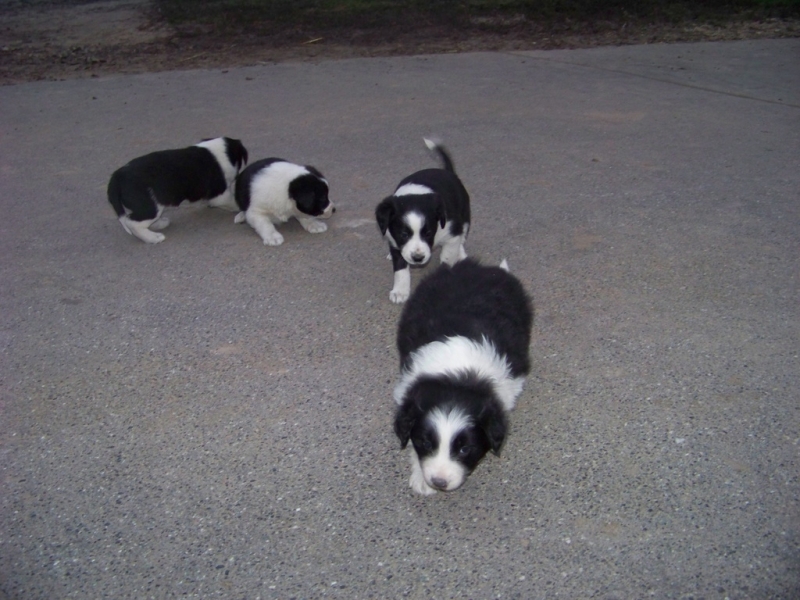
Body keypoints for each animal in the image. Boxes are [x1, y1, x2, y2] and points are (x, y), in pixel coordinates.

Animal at [107, 138, 247, 244]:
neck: (219, 152)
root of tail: (116, 177)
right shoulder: (219, 195)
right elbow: (233, 201)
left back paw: (160, 224)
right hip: (149, 206)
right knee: (132, 222)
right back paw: (153, 238)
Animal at [378, 138, 472, 302]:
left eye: (428, 233)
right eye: (403, 235)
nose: (418, 258)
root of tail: (448, 171)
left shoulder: (452, 231)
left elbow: (448, 256)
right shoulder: (394, 237)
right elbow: (400, 268)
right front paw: (400, 291)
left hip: (465, 216)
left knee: (462, 237)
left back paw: (461, 254)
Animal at [392, 258, 536, 496]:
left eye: (464, 449)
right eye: (426, 443)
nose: (439, 482)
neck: (456, 376)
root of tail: (478, 267)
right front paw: (421, 478)